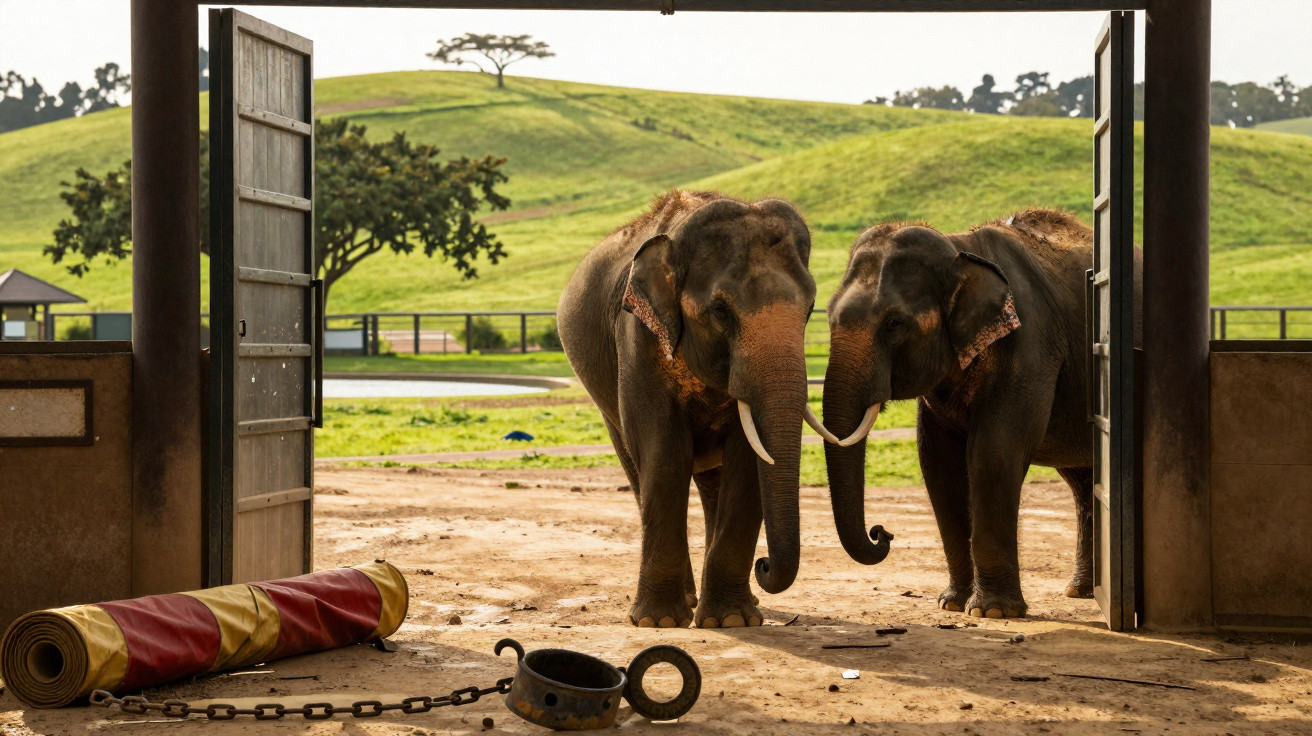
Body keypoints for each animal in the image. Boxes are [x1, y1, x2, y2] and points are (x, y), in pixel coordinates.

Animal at [557, 189, 838, 629]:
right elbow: (665, 454)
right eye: (721, 311)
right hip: (605, 405)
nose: (764, 565)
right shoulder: (637, 335)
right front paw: (658, 623)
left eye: (810, 309)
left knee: (712, 485)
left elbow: (748, 461)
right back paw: (687, 601)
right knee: (638, 470)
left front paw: (733, 621)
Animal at [820, 209, 1141, 619]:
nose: (882, 532)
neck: (959, 248)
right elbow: (939, 464)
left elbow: (993, 452)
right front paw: (952, 603)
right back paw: (1080, 591)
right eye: (827, 316)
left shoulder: (1029, 344)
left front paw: (992, 612)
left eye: (893, 324)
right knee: (1083, 479)